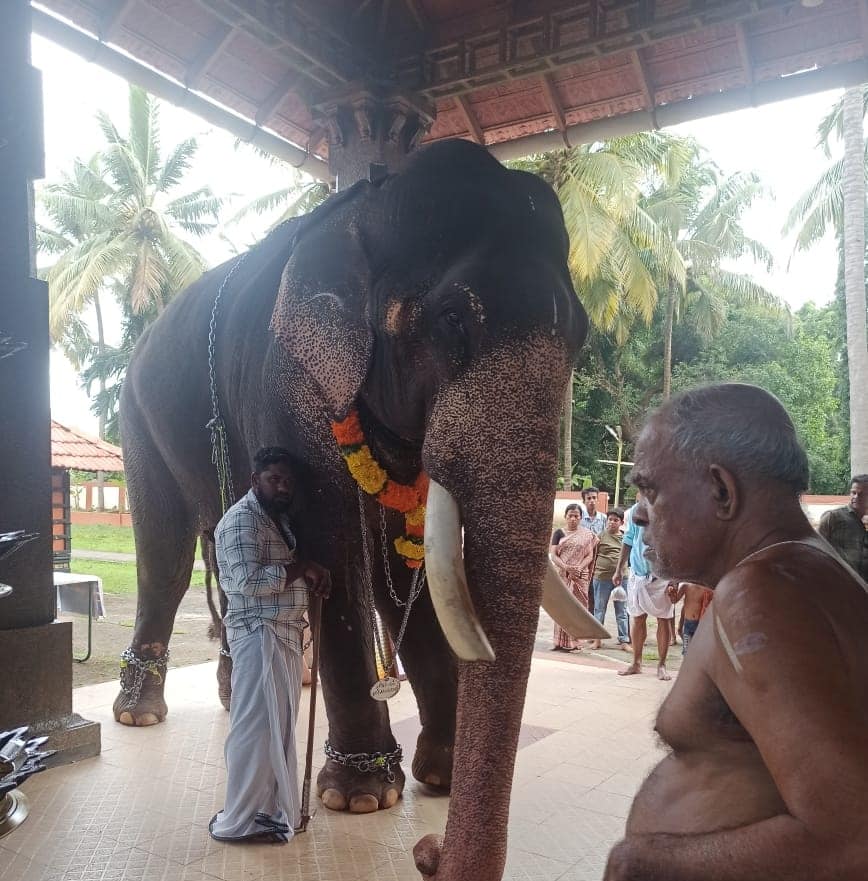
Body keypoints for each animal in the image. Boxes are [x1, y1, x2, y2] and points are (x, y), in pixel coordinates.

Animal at [112, 141, 600, 880]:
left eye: (583, 334)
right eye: (452, 321)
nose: (428, 853)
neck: (364, 204)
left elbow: (411, 560)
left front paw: (439, 778)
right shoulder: (286, 380)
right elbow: (334, 547)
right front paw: (363, 796)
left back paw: (228, 694)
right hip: (137, 419)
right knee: (164, 557)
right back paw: (138, 715)